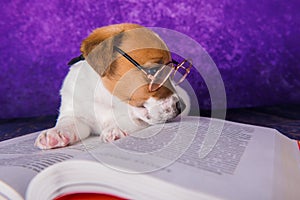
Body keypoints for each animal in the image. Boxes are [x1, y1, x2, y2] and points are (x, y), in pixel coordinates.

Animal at [34, 22, 190, 149]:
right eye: (154, 71)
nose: (181, 107)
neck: (106, 97)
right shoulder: (75, 113)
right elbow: (67, 122)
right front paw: (55, 133)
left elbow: (129, 119)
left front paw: (115, 128)